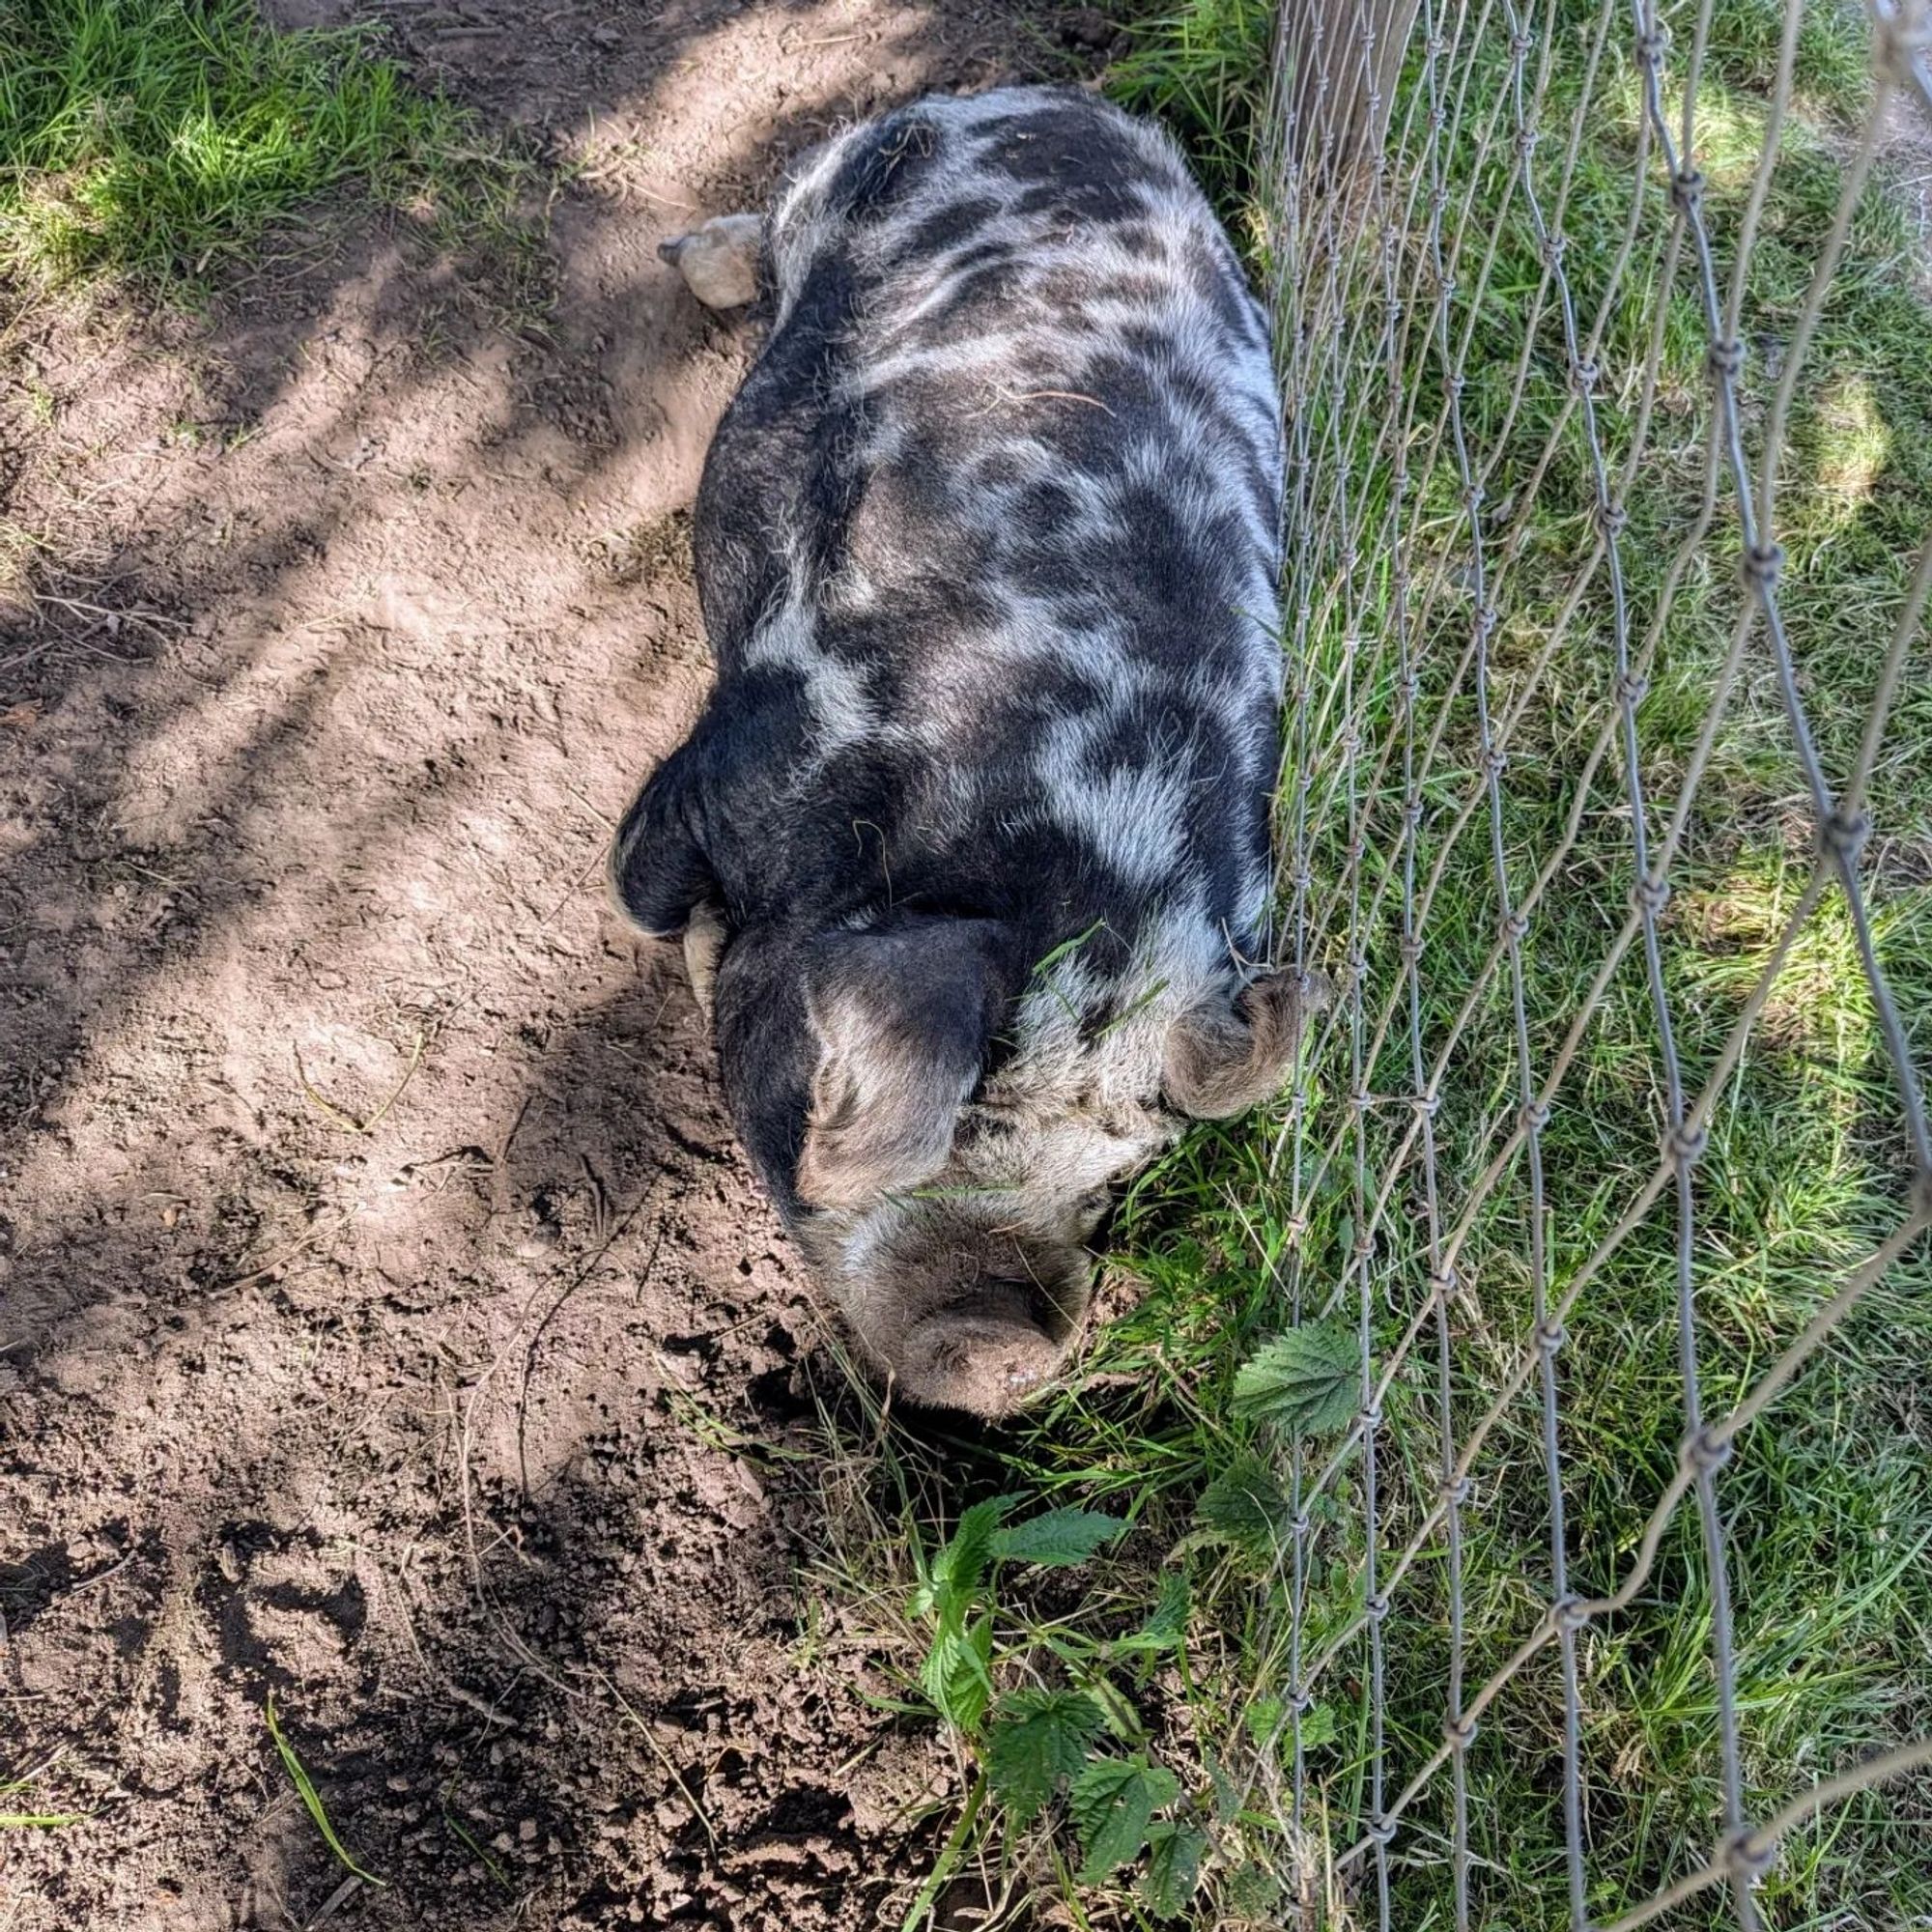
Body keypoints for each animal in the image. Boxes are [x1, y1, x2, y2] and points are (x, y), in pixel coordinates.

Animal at [611, 87, 1321, 1422]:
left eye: (1113, 1170)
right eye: (950, 1127)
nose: (1002, 1343)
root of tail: (1054, 103)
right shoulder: (721, 761)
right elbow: (641, 890)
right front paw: (689, 944)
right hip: (838, 177)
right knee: (764, 224)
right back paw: (695, 263)